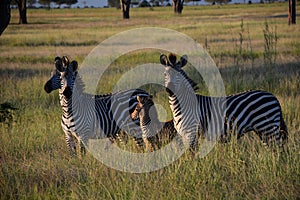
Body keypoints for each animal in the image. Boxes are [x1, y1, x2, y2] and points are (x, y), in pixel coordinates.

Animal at [159, 53, 288, 152]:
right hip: (263, 130)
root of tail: (273, 96)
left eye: (179, 75)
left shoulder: (191, 133)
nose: (170, 91)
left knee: (279, 151)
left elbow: (192, 157)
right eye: (165, 74)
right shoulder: (185, 135)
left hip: (267, 127)